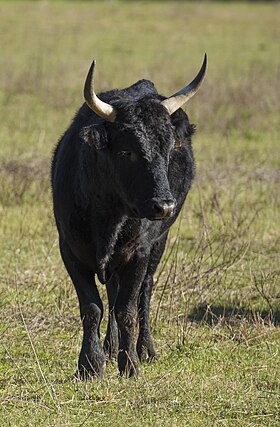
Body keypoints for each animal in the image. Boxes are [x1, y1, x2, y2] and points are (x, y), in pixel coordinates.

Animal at [51, 55, 207, 380]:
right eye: (127, 152)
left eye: (168, 151)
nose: (165, 206)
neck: (107, 219)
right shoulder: (70, 250)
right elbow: (92, 307)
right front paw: (90, 364)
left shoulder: (139, 252)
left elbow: (127, 309)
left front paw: (130, 364)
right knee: (112, 294)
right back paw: (110, 349)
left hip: (158, 244)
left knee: (143, 294)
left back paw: (145, 349)